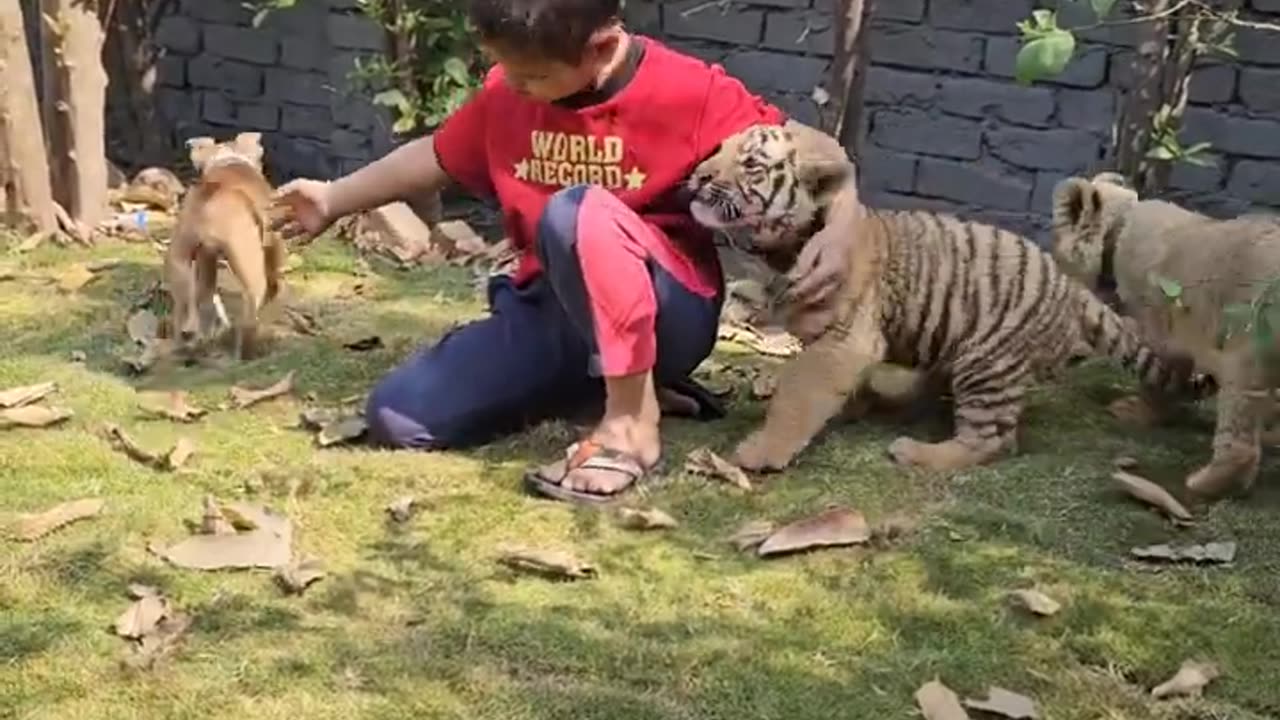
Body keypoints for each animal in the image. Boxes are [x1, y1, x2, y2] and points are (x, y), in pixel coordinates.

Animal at [166, 131, 284, 358]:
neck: (227, 158)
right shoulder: (275, 243)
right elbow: (276, 276)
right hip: (250, 271)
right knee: (250, 315)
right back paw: (249, 352)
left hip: (180, 261)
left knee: (187, 306)